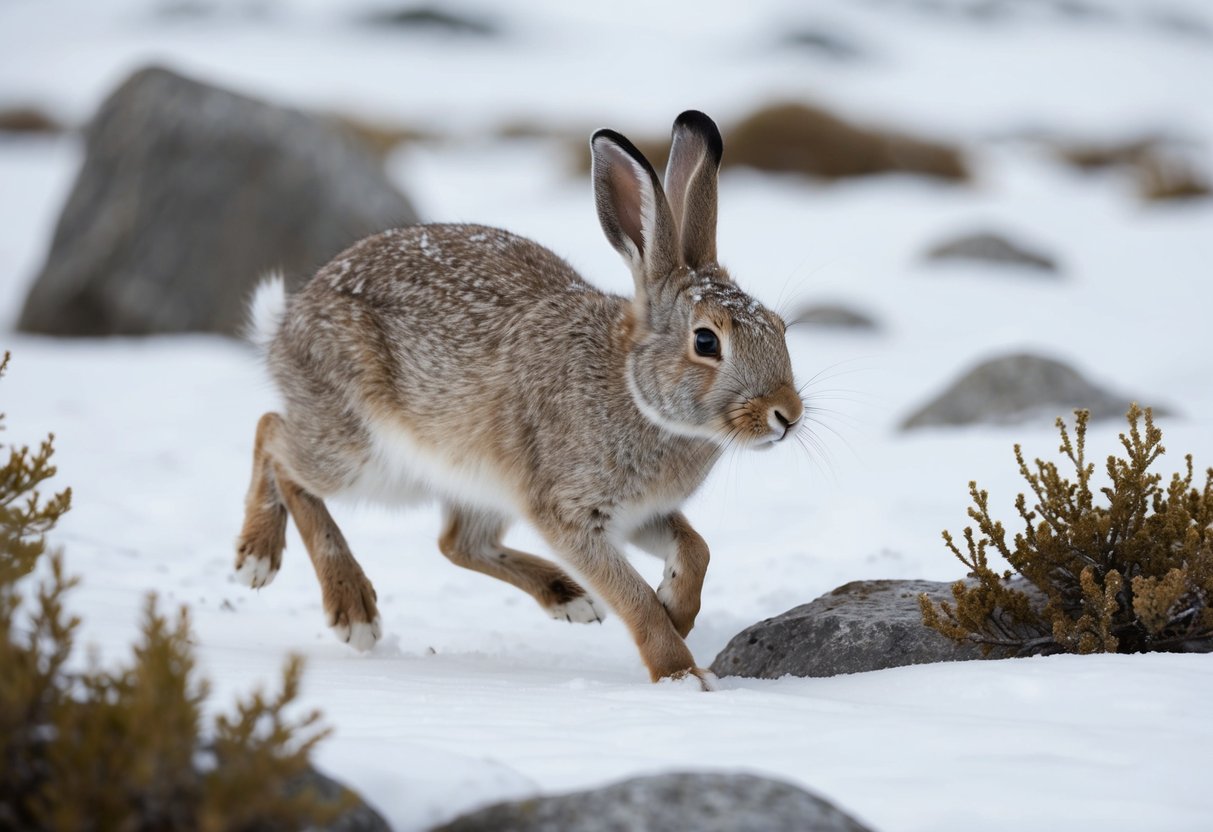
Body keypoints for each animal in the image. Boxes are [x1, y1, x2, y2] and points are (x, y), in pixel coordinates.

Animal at [234, 110, 804, 688]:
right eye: (706, 342)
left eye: (781, 329)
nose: (788, 415)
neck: (631, 387)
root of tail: (286, 327)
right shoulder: (570, 513)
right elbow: (633, 600)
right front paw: (681, 675)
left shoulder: (640, 515)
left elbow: (697, 549)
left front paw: (679, 612)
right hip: (365, 455)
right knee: (275, 439)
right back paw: (303, 582)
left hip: (477, 480)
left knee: (458, 542)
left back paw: (568, 597)